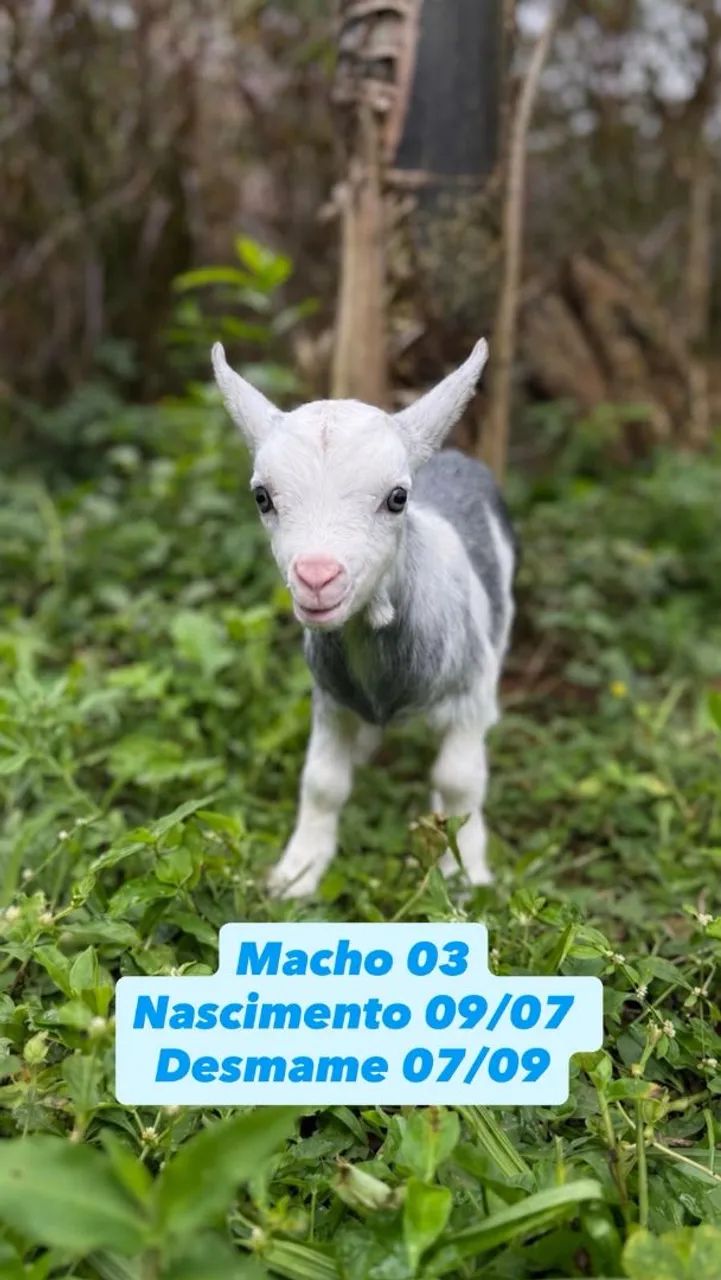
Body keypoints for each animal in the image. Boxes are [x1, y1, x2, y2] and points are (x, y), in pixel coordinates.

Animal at [212, 340, 515, 898]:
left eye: (397, 498)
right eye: (262, 497)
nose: (317, 577)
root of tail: (455, 456)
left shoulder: (470, 690)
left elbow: (460, 780)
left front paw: (465, 874)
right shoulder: (330, 697)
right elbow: (323, 782)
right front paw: (298, 872)